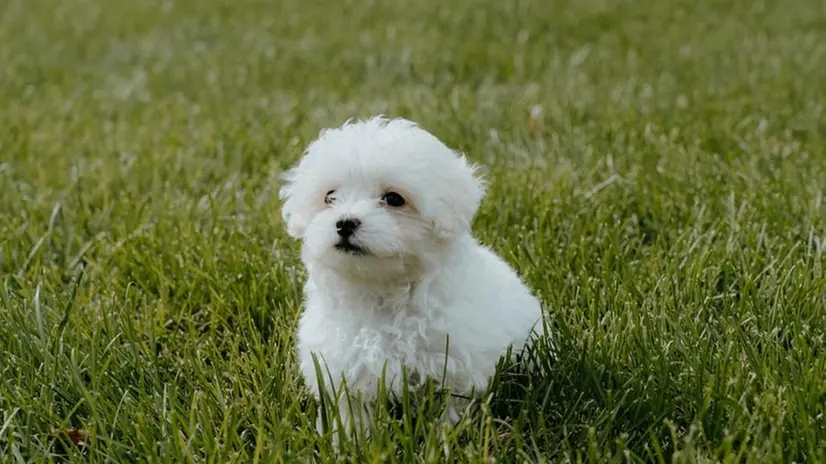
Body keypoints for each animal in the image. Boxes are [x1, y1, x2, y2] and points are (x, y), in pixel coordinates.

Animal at [280, 116, 544, 438]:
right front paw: (350, 439)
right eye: (330, 197)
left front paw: (446, 437)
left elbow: (451, 408)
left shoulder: (455, 366)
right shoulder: (342, 368)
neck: (383, 293)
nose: (344, 223)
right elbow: (352, 411)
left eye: (394, 199)